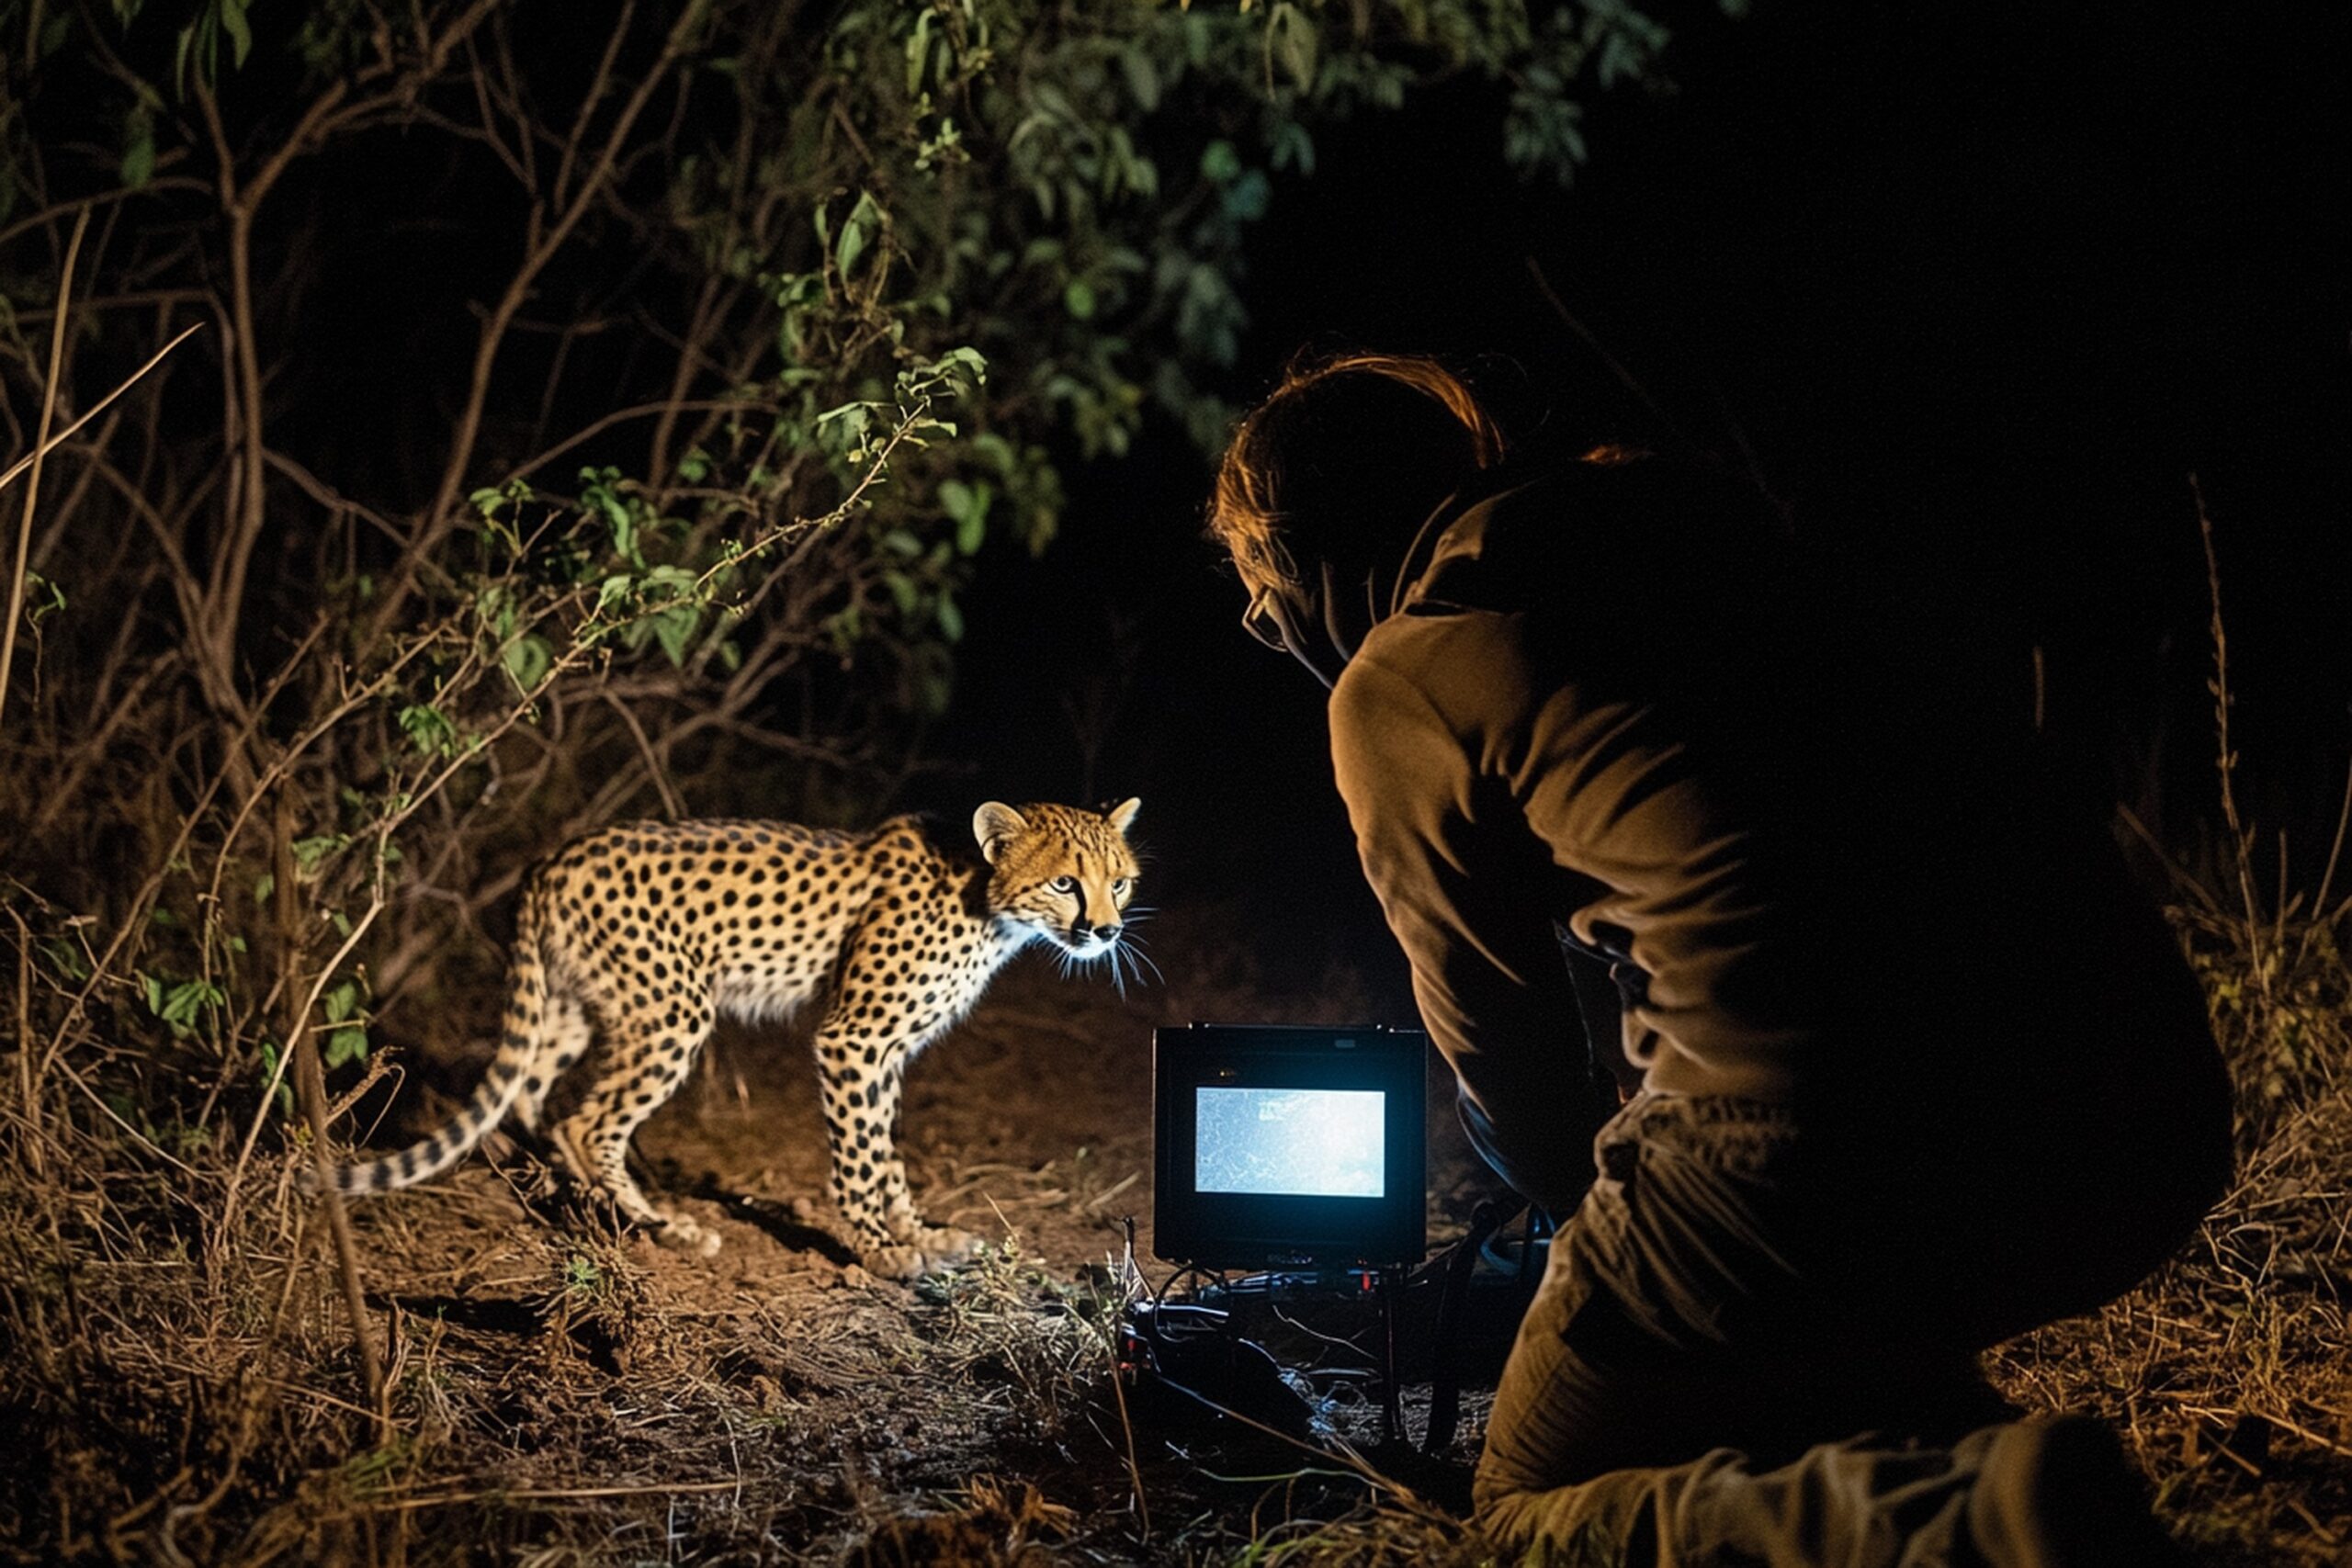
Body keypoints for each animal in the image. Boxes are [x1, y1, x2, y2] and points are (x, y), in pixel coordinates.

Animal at [326, 799, 1143, 1279]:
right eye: (1065, 882)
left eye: (1120, 881)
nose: (1105, 931)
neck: (986, 898)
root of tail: (553, 856)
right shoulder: (853, 1039)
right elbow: (860, 1157)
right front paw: (879, 1250)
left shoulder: (885, 1051)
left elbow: (888, 1153)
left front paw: (921, 1235)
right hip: (672, 1009)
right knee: (585, 1121)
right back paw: (663, 1226)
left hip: (575, 1004)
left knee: (529, 1098)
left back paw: (564, 1195)